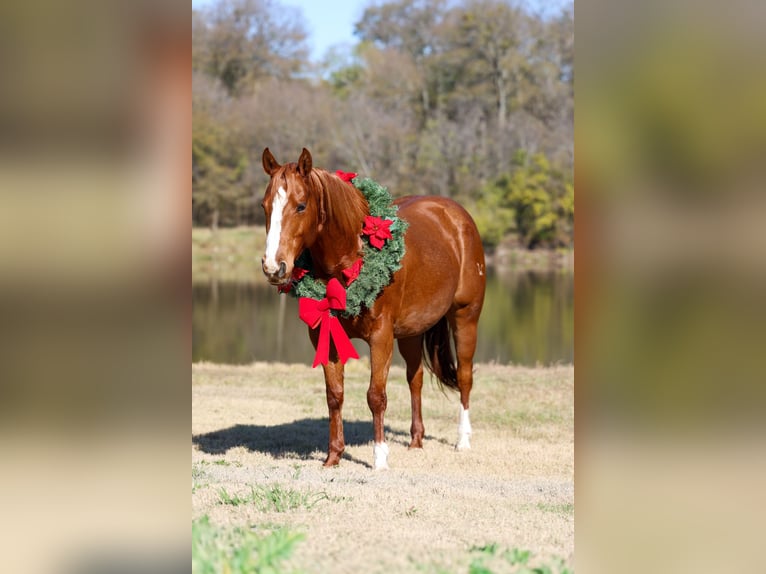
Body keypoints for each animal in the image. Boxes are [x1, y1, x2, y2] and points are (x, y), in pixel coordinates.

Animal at [260, 147, 485, 470]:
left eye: (301, 206)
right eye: (265, 205)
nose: (273, 267)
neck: (353, 255)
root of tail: (456, 216)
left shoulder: (380, 337)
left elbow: (376, 395)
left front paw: (379, 457)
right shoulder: (326, 337)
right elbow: (335, 395)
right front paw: (334, 456)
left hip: (465, 317)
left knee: (465, 377)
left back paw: (462, 440)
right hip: (411, 333)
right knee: (415, 379)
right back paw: (416, 440)